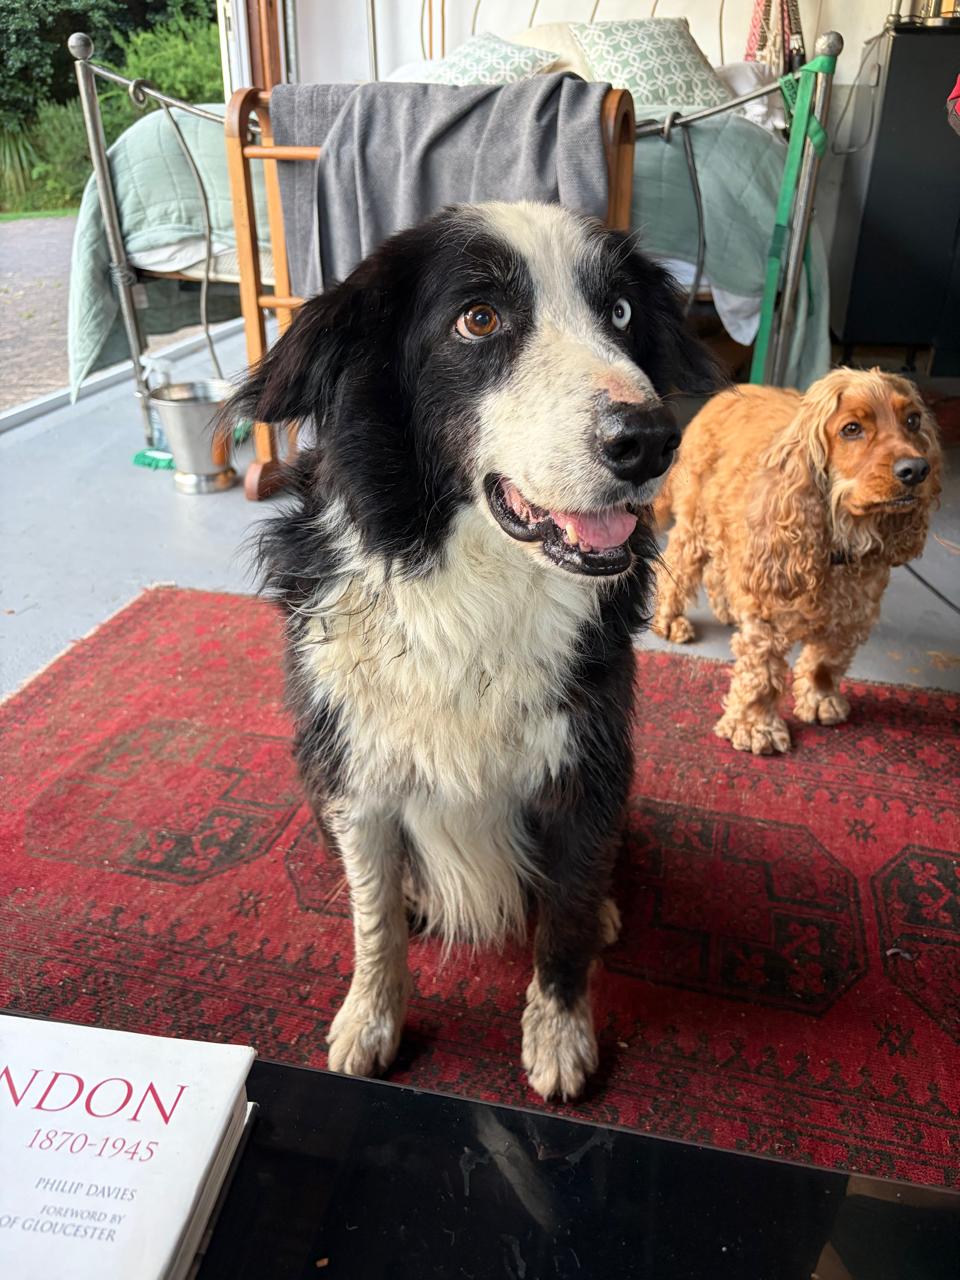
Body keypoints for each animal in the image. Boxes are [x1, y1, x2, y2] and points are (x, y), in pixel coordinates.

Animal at [227, 202, 718, 1100]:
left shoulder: (587, 762)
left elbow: (562, 919)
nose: (650, 441)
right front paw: (371, 1022)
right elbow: (374, 918)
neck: (474, 585)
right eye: (479, 320)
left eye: (620, 313)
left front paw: (559, 1036)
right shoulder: (353, 771)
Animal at [652, 369, 942, 755]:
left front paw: (821, 700)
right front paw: (755, 727)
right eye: (851, 429)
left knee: (720, 570)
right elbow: (761, 674)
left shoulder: (852, 614)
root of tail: (724, 394)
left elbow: (827, 659)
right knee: (678, 569)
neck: (841, 543)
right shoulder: (769, 612)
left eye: (913, 420)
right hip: (696, 520)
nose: (917, 469)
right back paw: (670, 621)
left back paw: (727, 607)